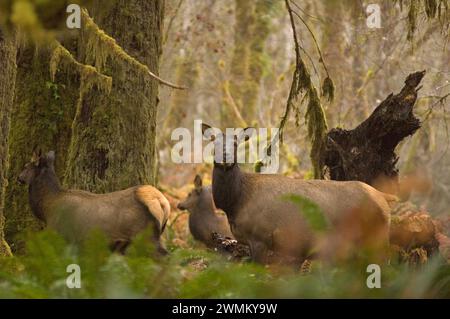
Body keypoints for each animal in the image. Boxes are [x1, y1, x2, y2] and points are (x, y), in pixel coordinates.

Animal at [18, 151, 171, 255]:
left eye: (26, 166)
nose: (18, 177)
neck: (47, 208)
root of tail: (162, 202)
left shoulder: (61, 234)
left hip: (145, 236)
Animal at [202, 124, 396, 266]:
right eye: (214, 142)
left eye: (236, 143)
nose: (225, 157)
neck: (236, 203)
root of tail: (383, 196)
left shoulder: (261, 236)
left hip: (377, 238)